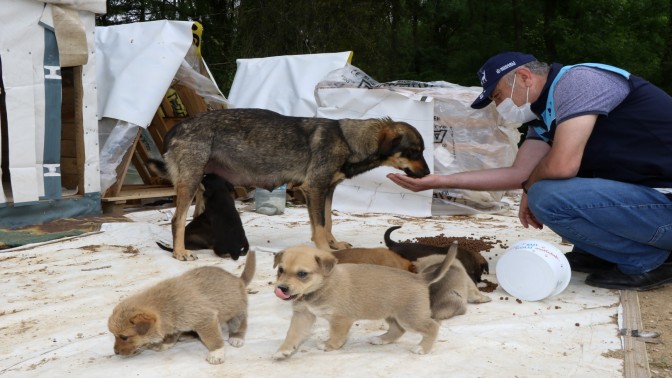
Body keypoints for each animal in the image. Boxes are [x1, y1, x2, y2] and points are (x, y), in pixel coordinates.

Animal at [109, 251, 256, 364]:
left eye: (123, 337)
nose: (115, 352)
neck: (165, 305)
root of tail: (239, 280)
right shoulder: (174, 324)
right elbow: (171, 336)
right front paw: (164, 344)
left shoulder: (205, 319)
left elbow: (213, 339)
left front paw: (216, 354)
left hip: (237, 312)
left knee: (240, 323)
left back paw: (236, 338)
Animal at [151, 106, 430, 260]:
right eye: (414, 152)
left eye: (422, 152)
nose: (428, 173)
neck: (347, 140)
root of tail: (177, 128)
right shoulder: (314, 188)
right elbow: (320, 226)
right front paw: (325, 250)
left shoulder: (327, 190)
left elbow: (328, 222)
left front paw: (333, 244)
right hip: (189, 183)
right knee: (176, 220)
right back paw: (179, 253)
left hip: (200, 186)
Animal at [270, 242, 460, 360]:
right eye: (280, 270)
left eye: (302, 274)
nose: (282, 288)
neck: (321, 286)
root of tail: (420, 278)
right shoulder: (303, 315)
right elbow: (292, 334)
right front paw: (283, 351)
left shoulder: (340, 319)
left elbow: (337, 335)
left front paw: (329, 345)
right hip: (392, 314)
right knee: (397, 330)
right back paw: (382, 340)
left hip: (410, 317)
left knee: (433, 326)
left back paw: (423, 348)